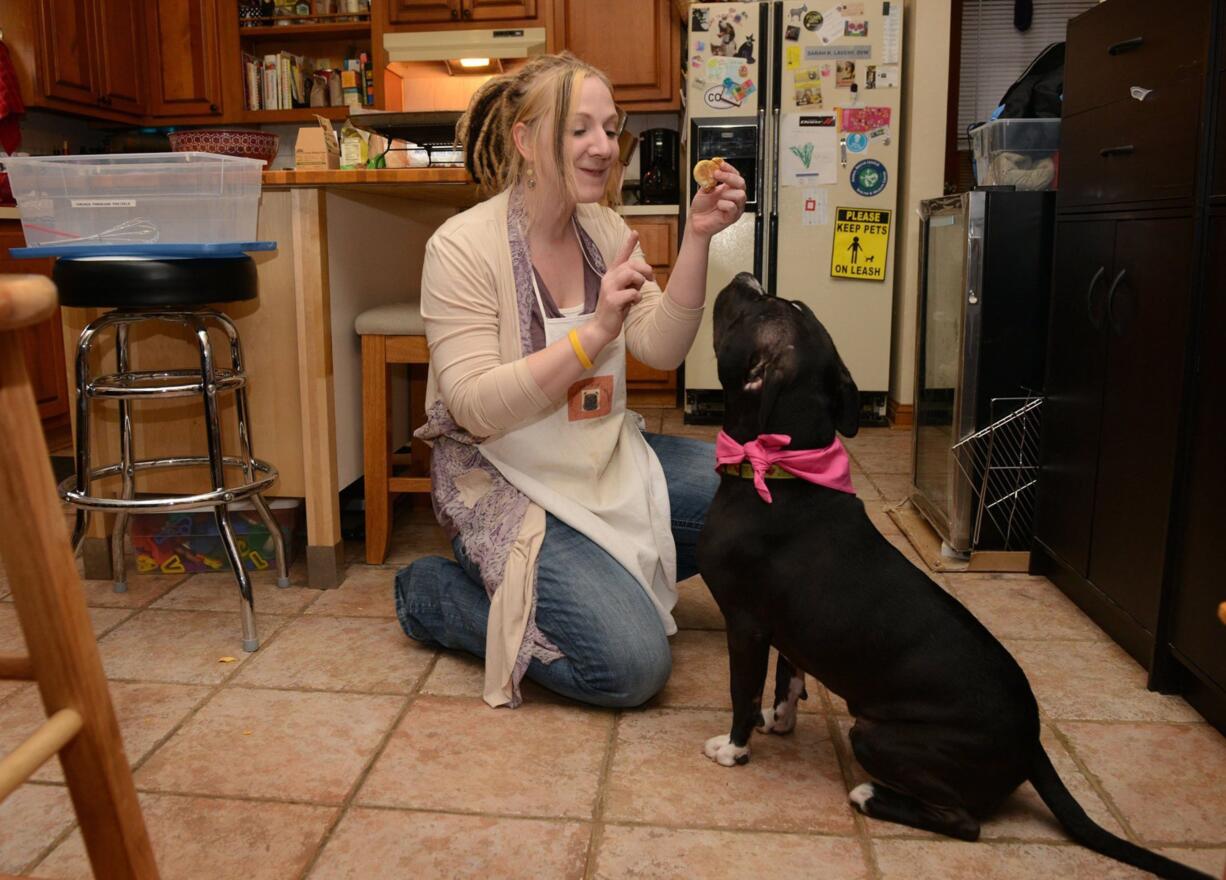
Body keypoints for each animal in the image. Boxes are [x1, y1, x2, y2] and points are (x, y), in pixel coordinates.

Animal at [696, 272, 1211, 877]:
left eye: (761, 308)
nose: (746, 276)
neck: (782, 469)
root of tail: (1033, 742)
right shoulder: (785, 630)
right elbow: (788, 675)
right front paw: (780, 721)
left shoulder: (746, 624)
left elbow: (743, 691)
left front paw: (735, 749)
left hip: (878, 735)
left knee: (965, 822)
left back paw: (869, 796)